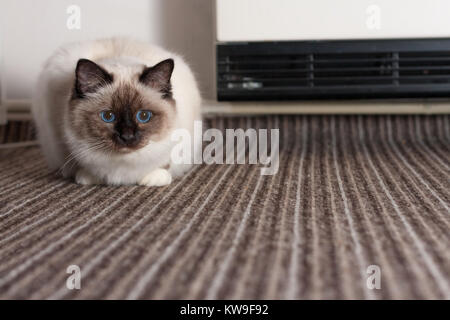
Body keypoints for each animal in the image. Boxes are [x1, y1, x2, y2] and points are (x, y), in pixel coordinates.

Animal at [34, 38, 203, 186]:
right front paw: (88, 177)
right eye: (108, 116)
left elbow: (165, 162)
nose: (127, 136)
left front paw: (154, 178)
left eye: (143, 116)